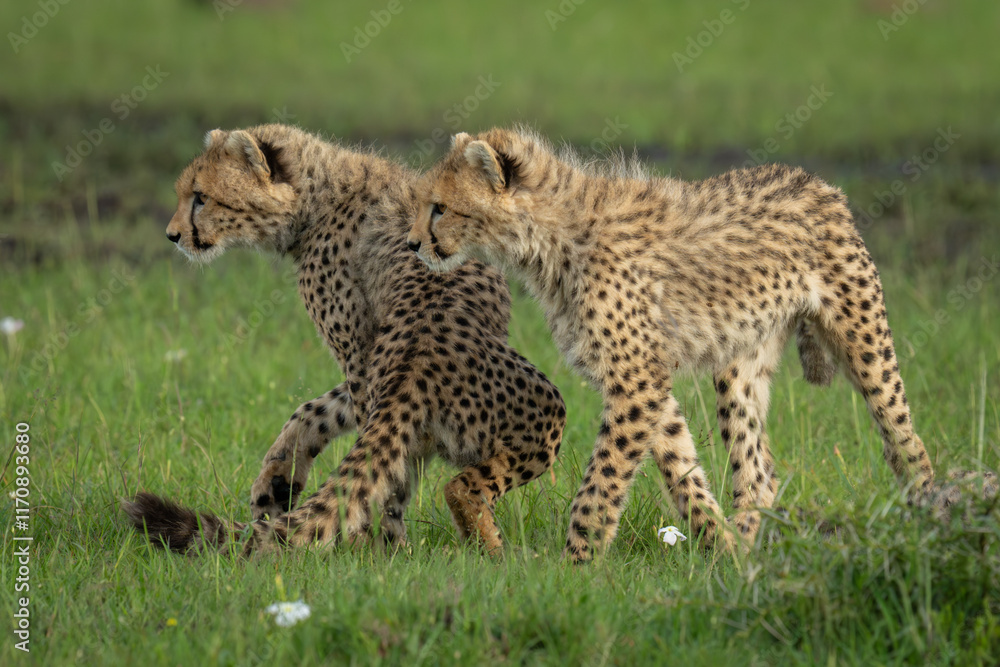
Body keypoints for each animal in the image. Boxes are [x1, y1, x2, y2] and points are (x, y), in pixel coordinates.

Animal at [123, 124, 566, 556]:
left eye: (201, 198)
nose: (172, 235)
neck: (317, 193)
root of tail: (420, 358)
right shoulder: (365, 364)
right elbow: (313, 412)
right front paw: (276, 481)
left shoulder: (355, 353)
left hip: (547, 409)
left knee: (443, 485)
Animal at [406, 127, 995, 563]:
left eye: (440, 208)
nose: (412, 244)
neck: (549, 235)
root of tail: (813, 179)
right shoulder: (645, 380)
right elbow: (679, 464)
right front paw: (719, 543)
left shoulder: (636, 379)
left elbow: (603, 481)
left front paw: (575, 565)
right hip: (740, 363)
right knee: (757, 470)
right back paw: (748, 554)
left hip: (863, 338)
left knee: (904, 440)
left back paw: (928, 518)